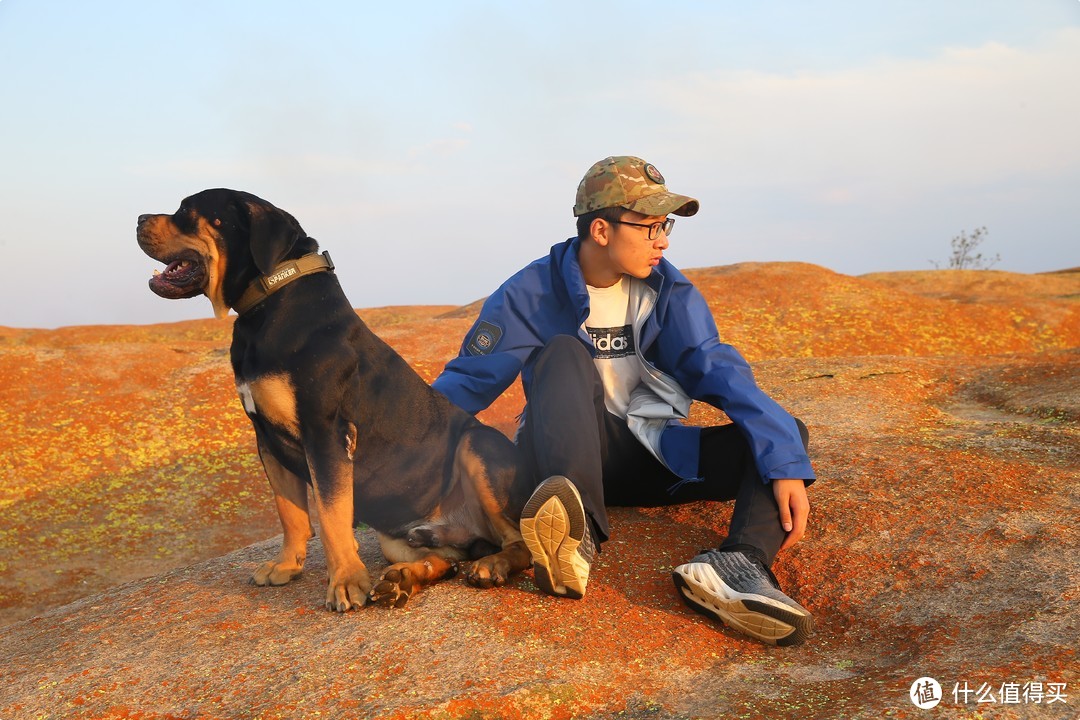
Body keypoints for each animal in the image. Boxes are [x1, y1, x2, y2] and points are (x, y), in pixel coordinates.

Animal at [137, 188, 533, 613]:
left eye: (187, 211)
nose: (138, 219)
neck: (270, 298)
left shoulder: (325, 432)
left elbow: (330, 514)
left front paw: (344, 582)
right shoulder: (266, 438)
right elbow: (290, 511)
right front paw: (286, 565)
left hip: (479, 448)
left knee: (518, 543)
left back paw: (491, 566)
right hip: (401, 538)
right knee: (446, 559)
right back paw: (403, 580)